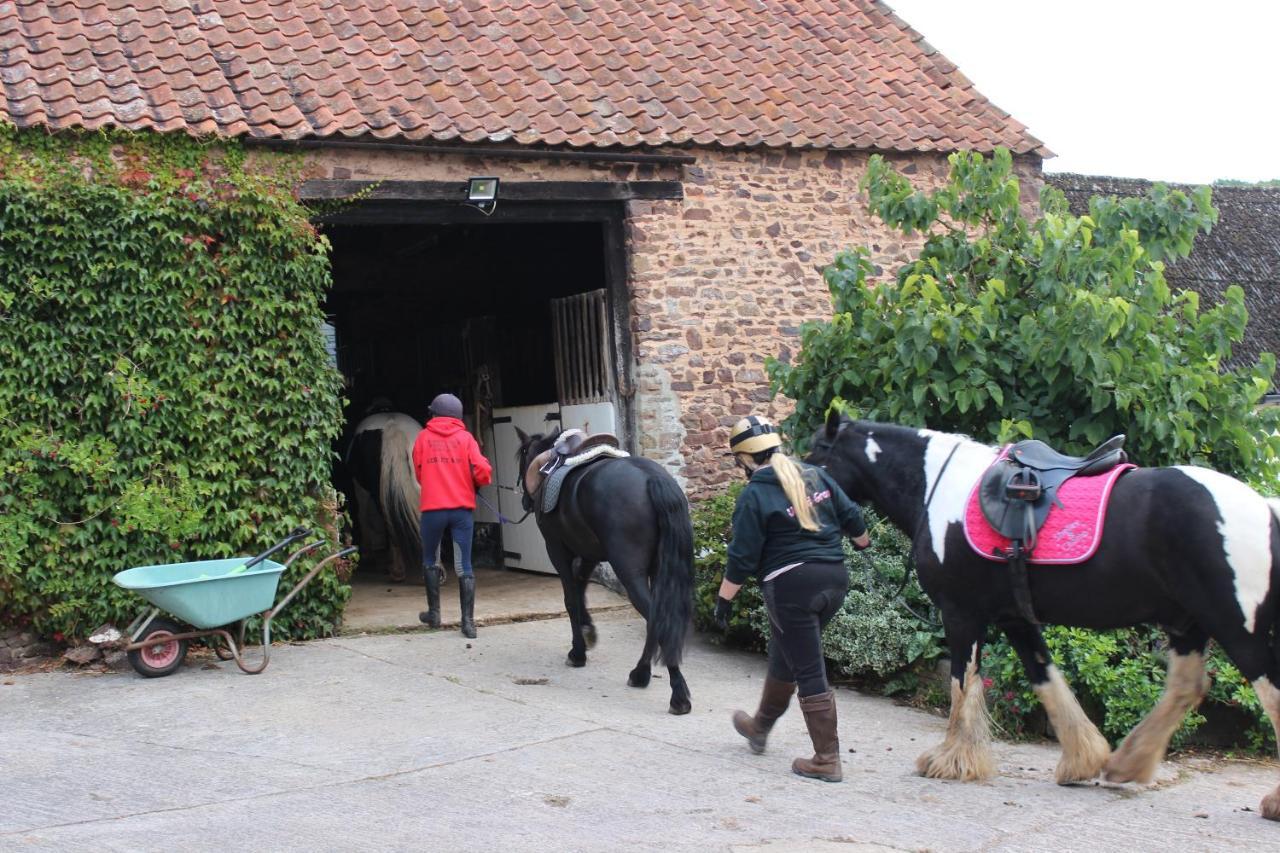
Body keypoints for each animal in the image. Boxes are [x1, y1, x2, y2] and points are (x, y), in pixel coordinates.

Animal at [512, 425, 691, 712]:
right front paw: (588, 632)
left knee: (657, 617)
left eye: (523, 455)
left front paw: (578, 652)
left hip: (629, 571)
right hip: (656, 569)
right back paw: (640, 674)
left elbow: (571, 598)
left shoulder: (557, 549)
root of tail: (651, 478)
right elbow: (580, 588)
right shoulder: (589, 553)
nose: (526, 503)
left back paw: (678, 695)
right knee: (655, 617)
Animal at [808, 412, 1280, 819]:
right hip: (1186, 623)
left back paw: (1271, 802)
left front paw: (952, 761)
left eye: (815, 454)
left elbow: (962, 682)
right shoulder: (1016, 619)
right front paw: (1083, 760)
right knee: (1186, 688)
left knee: (1266, 691)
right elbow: (1047, 680)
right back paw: (1127, 763)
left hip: (1236, 625)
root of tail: (1264, 509)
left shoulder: (961, 613)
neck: (938, 490)